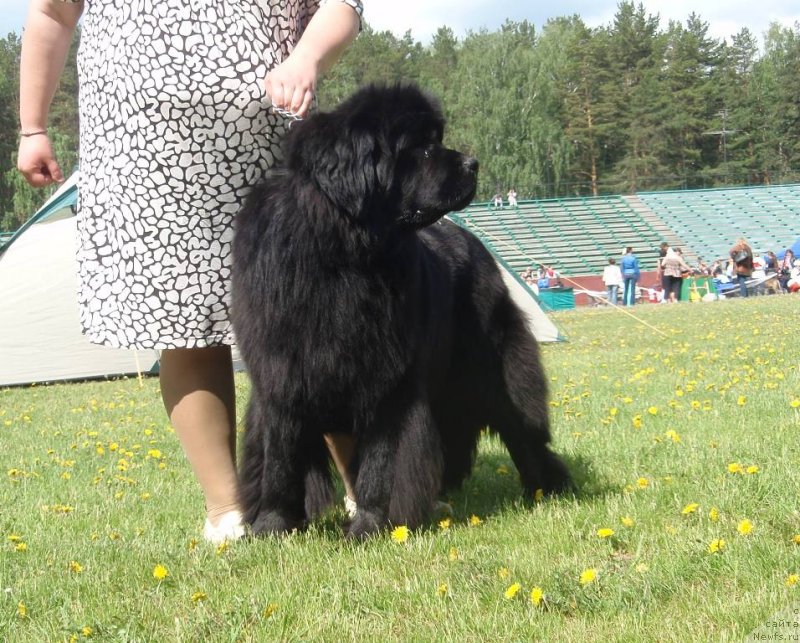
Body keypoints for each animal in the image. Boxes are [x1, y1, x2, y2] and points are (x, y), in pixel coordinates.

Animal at [230, 85, 568, 540]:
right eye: (420, 147)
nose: (473, 163)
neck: (341, 257)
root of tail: (476, 246)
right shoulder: (281, 376)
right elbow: (279, 459)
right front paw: (271, 526)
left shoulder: (389, 381)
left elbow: (381, 463)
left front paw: (370, 525)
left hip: (493, 369)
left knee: (522, 428)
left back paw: (547, 488)